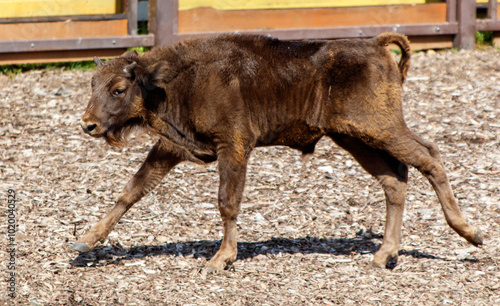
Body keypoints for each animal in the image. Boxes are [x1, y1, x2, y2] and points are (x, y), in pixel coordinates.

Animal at [73, 31, 480, 270]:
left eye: (119, 89)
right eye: (92, 83)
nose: (88, 124)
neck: (170, 81)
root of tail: (378, 45)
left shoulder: (234, 147)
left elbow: (227, 202)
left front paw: (220, 259)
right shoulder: (171, 148)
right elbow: (132, 190)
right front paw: (86, 241)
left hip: (379, 129)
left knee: (428, 157)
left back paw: (470, 233)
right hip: (354, 138)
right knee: (395, 179)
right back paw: (383, 255)